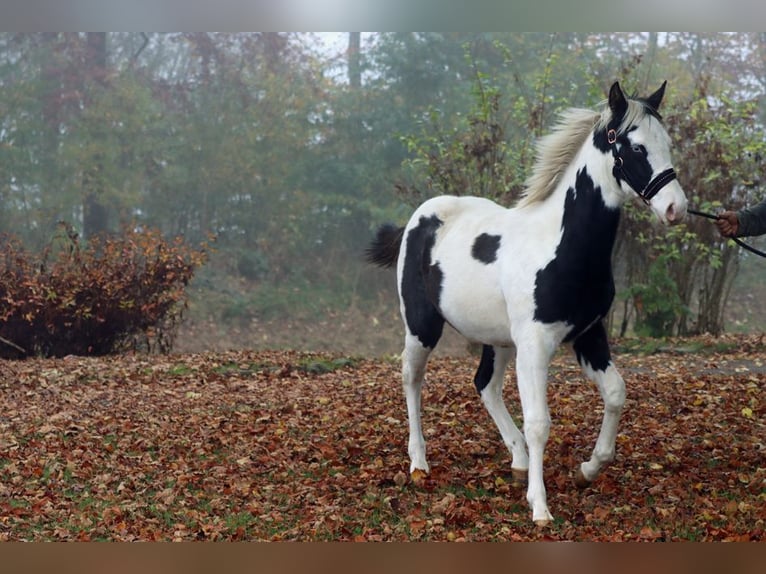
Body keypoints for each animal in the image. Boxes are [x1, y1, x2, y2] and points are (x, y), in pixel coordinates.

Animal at [368, 81, 688, 528]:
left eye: (667, 143)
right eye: (637, 147)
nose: (676, 208)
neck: (560, 244)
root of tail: (418, 219)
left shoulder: (588, 335)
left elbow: (615, 393)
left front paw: (588, 470)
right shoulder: (536, 344)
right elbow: (539, 422)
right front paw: (540, 507)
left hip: (499, 340)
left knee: (485, 384)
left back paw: (517, 460)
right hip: (422, 326)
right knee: (412, 380)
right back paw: (419, 464)